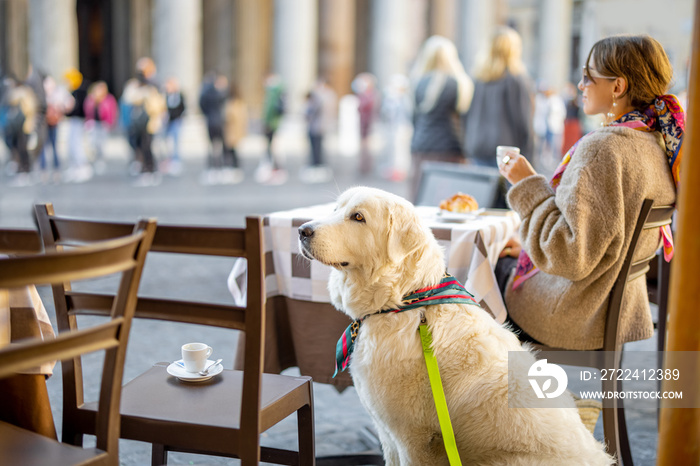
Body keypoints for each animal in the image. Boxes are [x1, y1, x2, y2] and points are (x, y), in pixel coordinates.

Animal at [296, 187, 612, 466]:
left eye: (358, 217)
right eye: (336, 210)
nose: (302, 230)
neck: (404, 301)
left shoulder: (411, 438)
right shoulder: (388, 435)